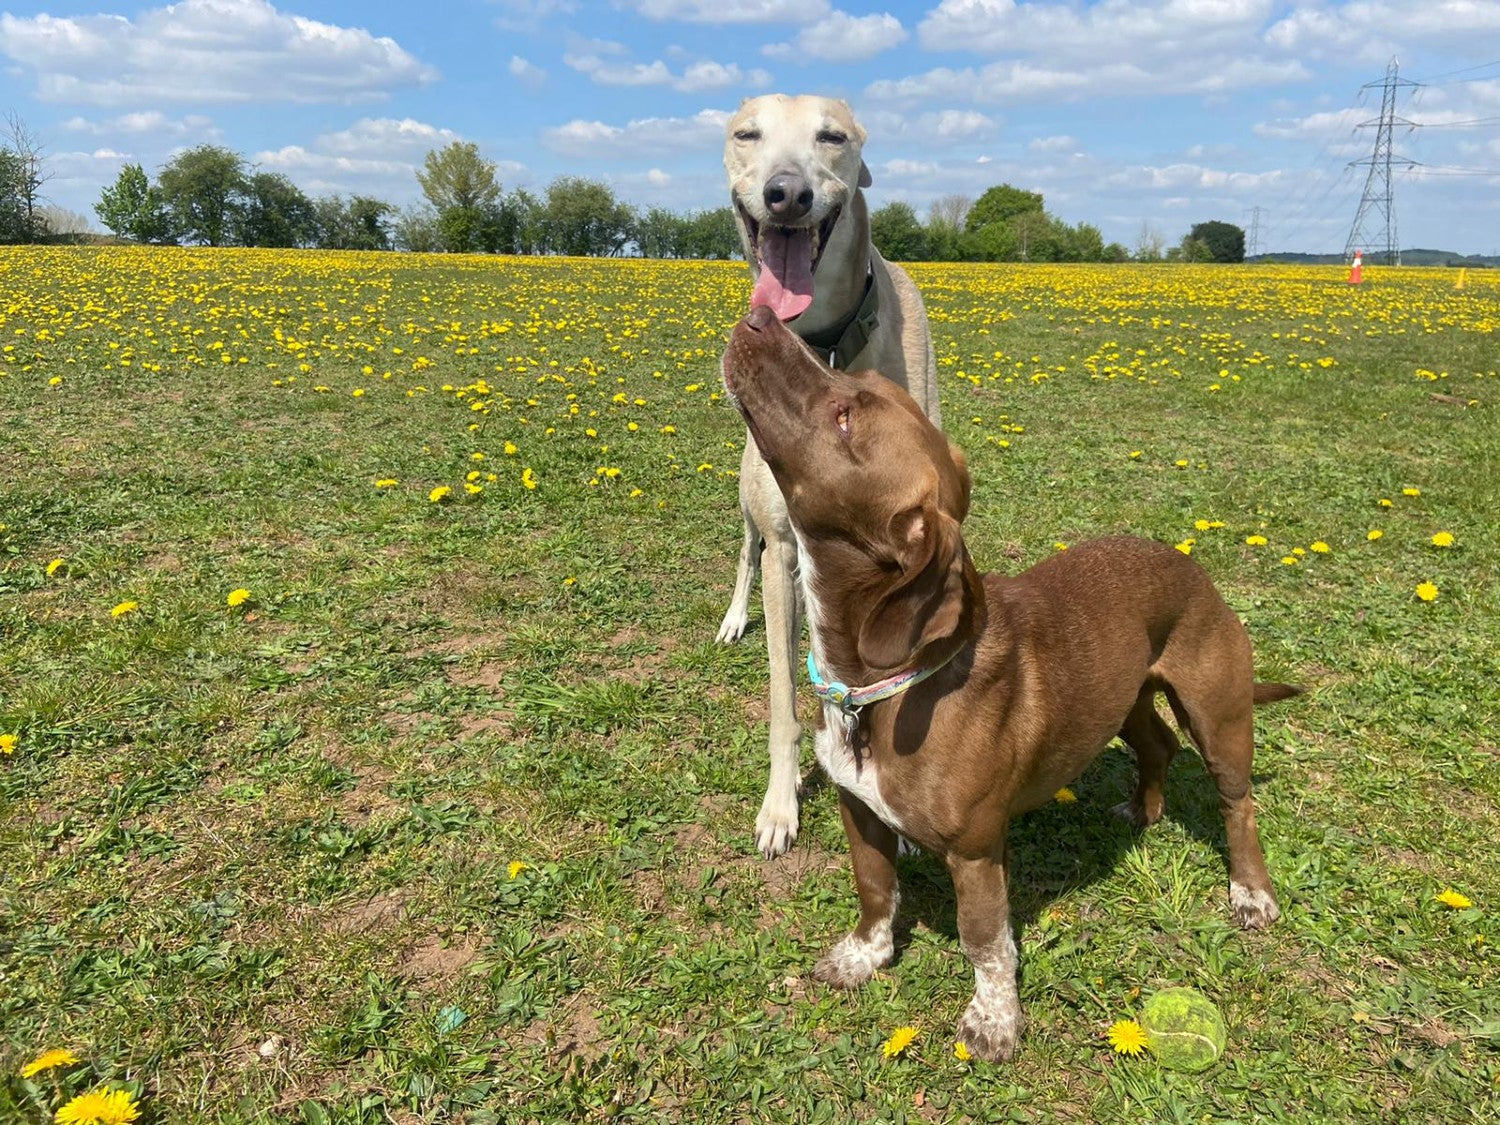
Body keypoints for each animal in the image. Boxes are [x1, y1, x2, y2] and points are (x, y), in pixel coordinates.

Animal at [723, 306, 1302, 1068]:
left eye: (845, 417)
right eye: (852, 388)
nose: (760, 315)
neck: (884, 688)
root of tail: (1191, 564)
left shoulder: (976, 851)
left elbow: (985, 939)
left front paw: (995, 1021)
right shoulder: (859, 811)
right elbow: (875, 889)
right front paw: (864, 955)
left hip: (1220, 716)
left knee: (1238, 804)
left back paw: (1250, 893)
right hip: (1125, 699)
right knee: (1158, 744)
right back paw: (1142, 809)